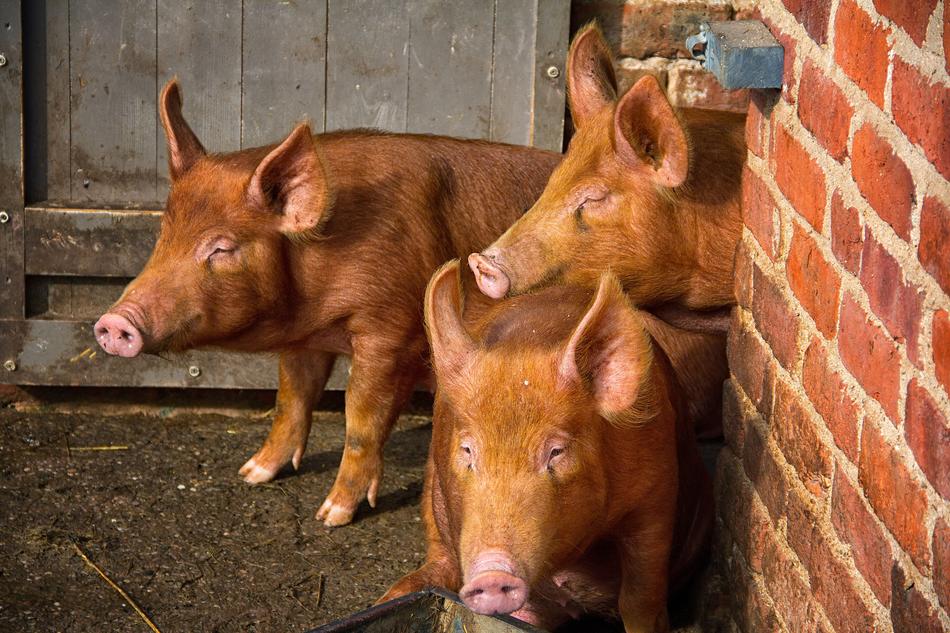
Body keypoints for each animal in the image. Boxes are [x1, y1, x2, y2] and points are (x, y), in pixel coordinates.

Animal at [93, 79, 563, 526]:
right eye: (163, 234)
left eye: (222, 248)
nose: (114, 322)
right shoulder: (305, 340)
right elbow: (291, 400)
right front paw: (252, 474)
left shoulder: (390, 330)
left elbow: (360, 417)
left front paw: (332, 515)